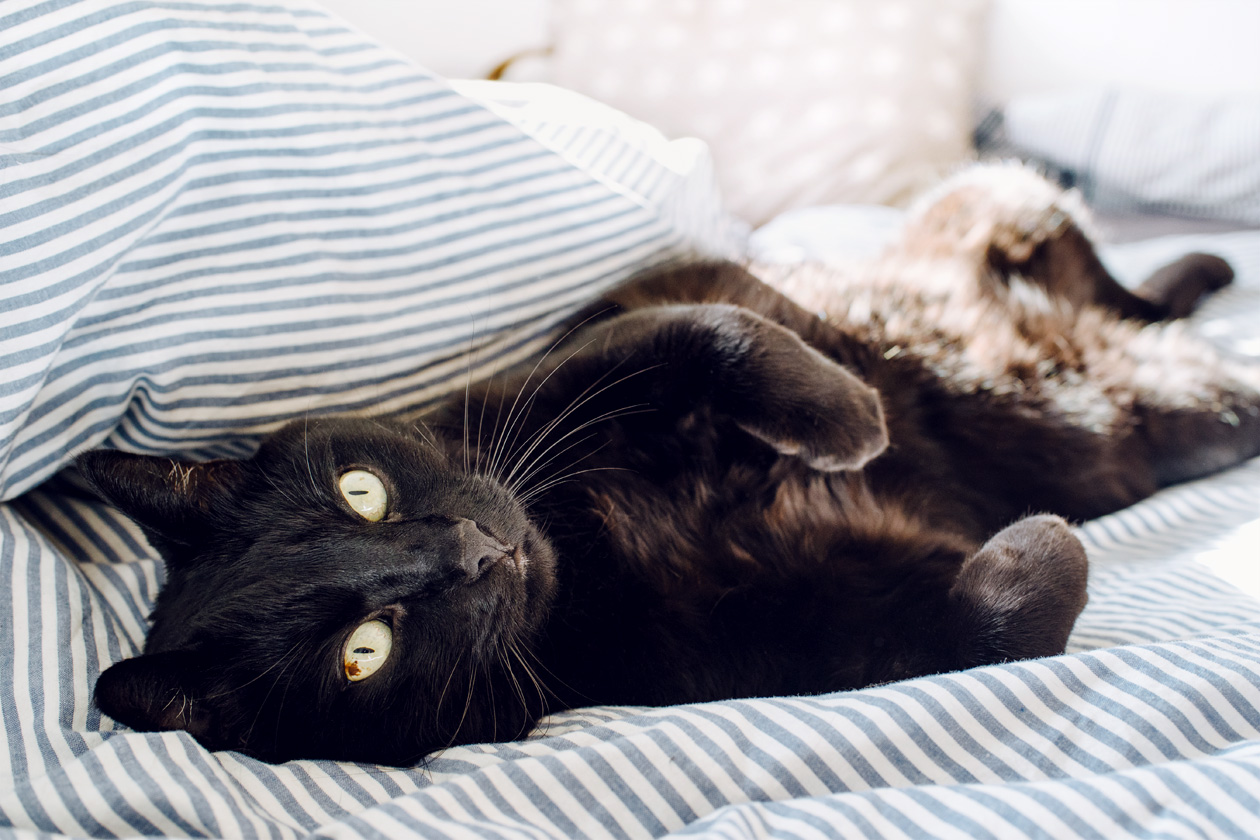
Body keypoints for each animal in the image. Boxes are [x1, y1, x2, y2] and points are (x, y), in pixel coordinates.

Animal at [81, 167, 1260, 765]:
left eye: (361, 492)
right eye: (361, 653)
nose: (469, 550)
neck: (590, 549)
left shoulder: (594, 350)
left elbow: (724, 331)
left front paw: (850, 419)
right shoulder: (798, 637)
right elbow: (995, 628)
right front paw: (1034, 548)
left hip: (1009, 206)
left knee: (1119, 280)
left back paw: (1196, 268)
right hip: (1165, 405)